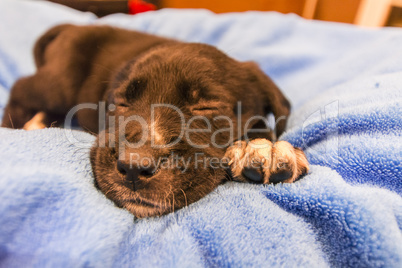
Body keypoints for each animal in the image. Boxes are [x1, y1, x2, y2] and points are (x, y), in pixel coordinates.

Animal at [2, 24, 308, 218]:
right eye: (121, 102)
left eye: (206, 106)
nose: (134, 168)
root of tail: (72, 27)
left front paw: (265, 148)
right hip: (58, 83)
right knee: (20, 88)